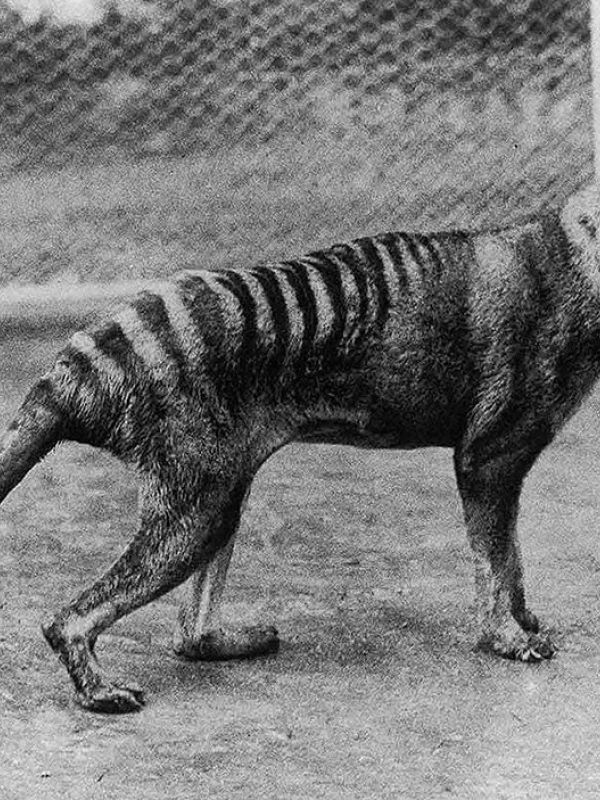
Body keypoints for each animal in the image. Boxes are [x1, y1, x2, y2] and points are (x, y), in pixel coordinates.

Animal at [0, 185, 598, 713]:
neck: (577, 257)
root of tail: (78, 367)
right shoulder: (490, 455)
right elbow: (496, 560)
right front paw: (505, 636)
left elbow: (512, 557)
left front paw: (522, 618)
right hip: (194, 511)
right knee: (67, 620)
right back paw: (98, 689)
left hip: (223, 485)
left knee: (190, 633)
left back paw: (221, 640)